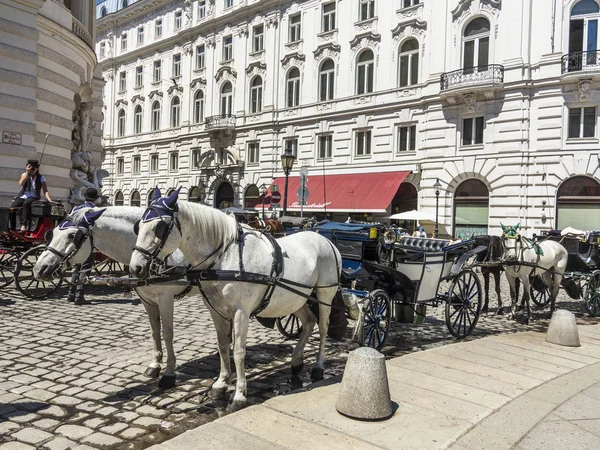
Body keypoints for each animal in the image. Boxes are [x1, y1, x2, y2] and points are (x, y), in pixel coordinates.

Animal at [33, 206, 195, 388]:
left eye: (72, 235)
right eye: (51, 234)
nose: (39, 269)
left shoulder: (165, 298)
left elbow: (167, 333)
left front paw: (169, 372)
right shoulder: (147, 300)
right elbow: (154, 331)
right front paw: (154, 365)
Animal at [129, 188, 342, 414]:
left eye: (159, 228)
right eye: (138, 226)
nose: (135, 268)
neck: (225, 257)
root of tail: (323, 238)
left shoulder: (241, 313)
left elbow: (239, 351)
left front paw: (239, 394)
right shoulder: (215, 310)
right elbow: (223, 345)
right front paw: (221, 384)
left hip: (324, 294)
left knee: (323, 327)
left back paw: (318, 367)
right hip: (296, 298)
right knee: (309, 322)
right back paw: (296, 361)